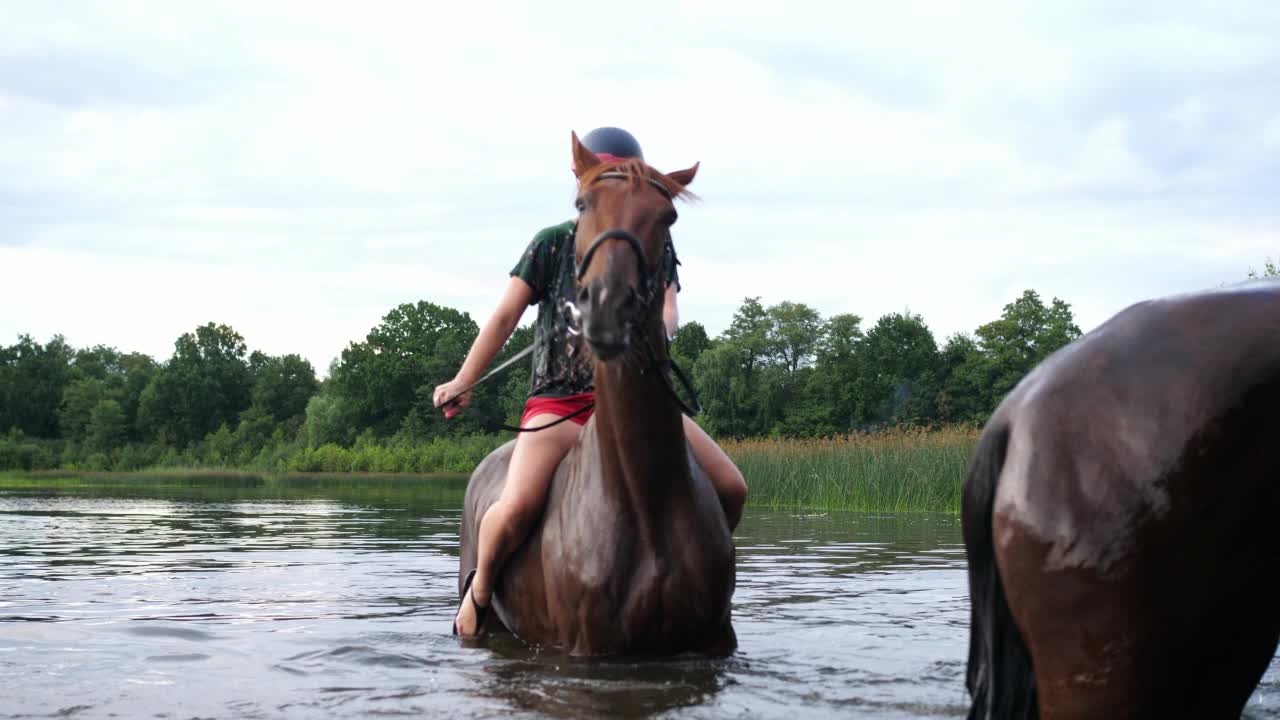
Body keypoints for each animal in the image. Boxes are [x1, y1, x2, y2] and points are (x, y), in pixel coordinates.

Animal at [458, 130, 742, 655]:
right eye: (582, 203)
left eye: (667, 216)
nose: (609, 306)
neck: (644, 499)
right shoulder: (589, 648)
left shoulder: (713, 639)